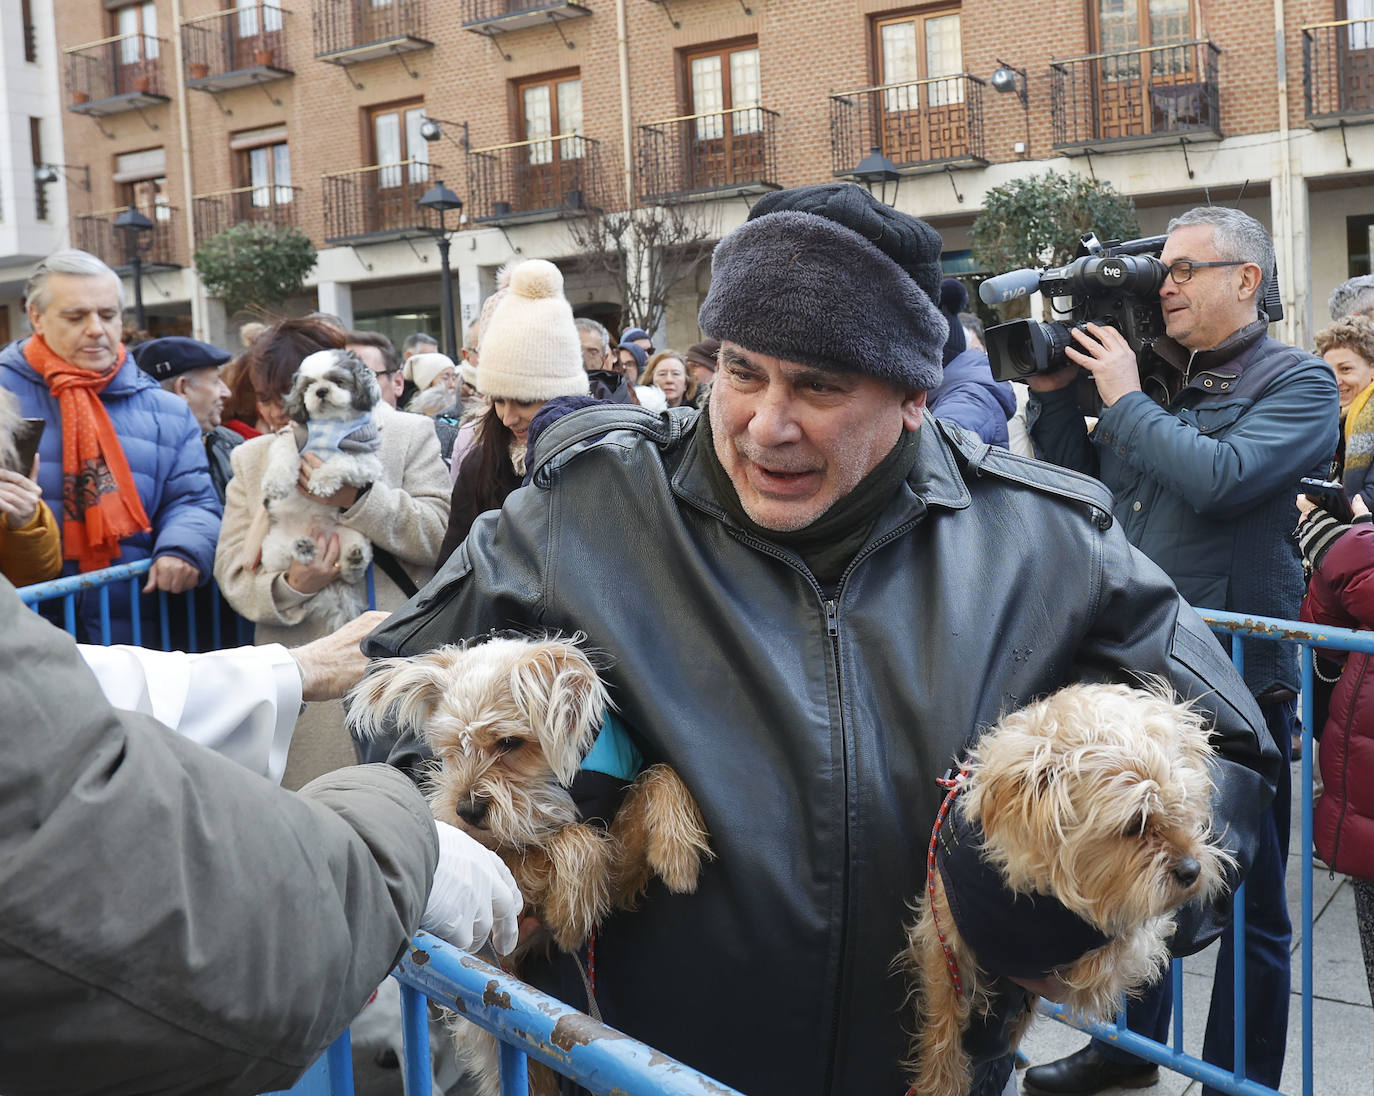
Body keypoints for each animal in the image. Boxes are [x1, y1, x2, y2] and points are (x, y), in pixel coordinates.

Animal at [258, 347, 384, 631]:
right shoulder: (292, 438)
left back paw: (353, 560)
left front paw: (323, 482)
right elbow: (284, 458)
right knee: (290, 562)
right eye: (308, 385)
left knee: (351, 572)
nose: (321, 391)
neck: (331, 425)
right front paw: (277, 483)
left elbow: (341, 461)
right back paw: (304, 549)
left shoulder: (365, 458)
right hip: (273, 548)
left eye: (337, 381)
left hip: (351, 535)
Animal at [346, 634, 708, 1096]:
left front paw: (676, 855)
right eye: (452, 748)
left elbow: (658, 775)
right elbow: (569, 840)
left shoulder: (619, 877)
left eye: (509, 743)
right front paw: (570, 912)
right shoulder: (508, 870)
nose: (466, 810)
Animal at [901, 681, 1236, 1093]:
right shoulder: (943, 933)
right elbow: (944, 1019)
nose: (1192, 869)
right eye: (1136, 824)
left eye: (1183, 809)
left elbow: (1107, 957)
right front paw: (940, 1081)